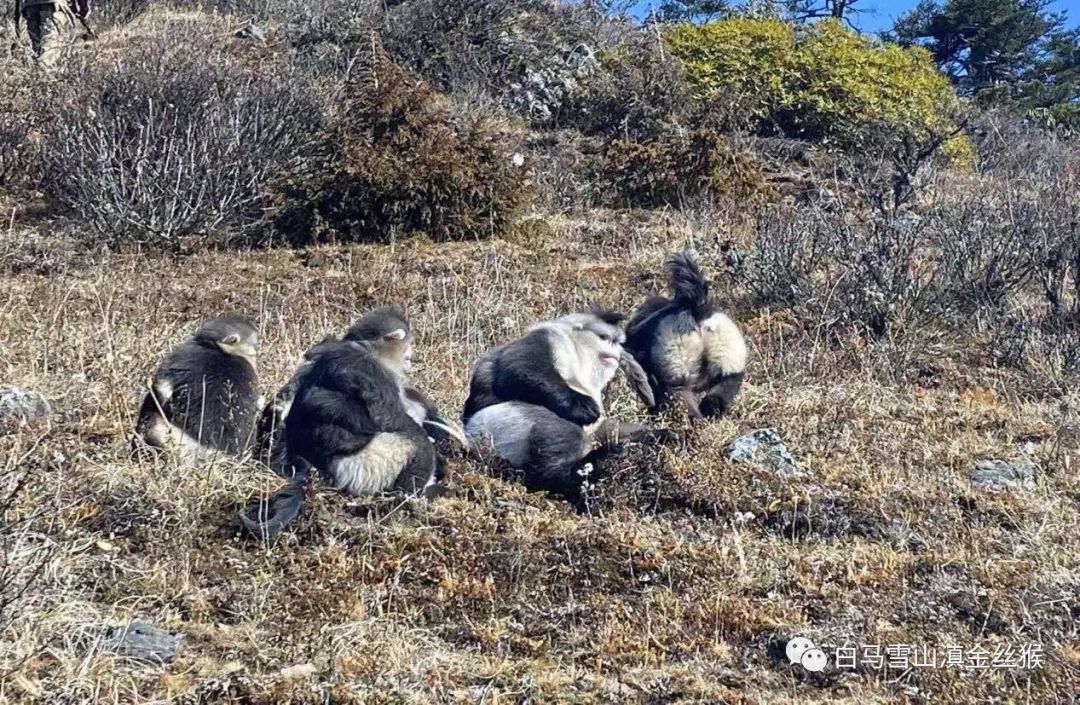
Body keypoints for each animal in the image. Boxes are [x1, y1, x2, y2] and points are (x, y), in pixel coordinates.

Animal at [241, 306, 447, 533]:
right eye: (408, 346)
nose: (412, 357)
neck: (365, 348)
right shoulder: (374, 372)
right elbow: (389, 419)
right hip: (363, 466)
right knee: (414, 442)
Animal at [462, 310, 665, 496]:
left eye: (617, 342)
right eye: (604, 338)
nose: (616, 351)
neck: (580, 362)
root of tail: (468, 435)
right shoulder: (547, 341)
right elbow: (521, 367)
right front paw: (583, 407)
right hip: (494, 425)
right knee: (560, 436)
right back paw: (593, 464)